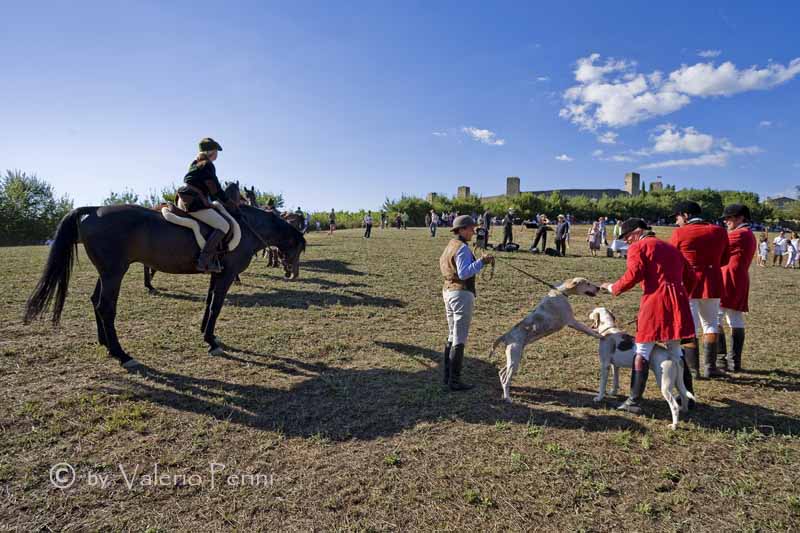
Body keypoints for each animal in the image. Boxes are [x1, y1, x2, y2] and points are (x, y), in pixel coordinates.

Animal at [25, 197, 306, 368]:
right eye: (299, 248)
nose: (292, 274)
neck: (246, 227)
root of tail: (92, 210)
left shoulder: (216, 274)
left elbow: (209, 303)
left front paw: (205, 333)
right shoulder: (226, 275)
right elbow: (216, 306)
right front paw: (211, 341)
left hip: (106, 273)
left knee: (95, 302)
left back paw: (105, 344)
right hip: (114, 273)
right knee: (106, 308)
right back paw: (121, 354)